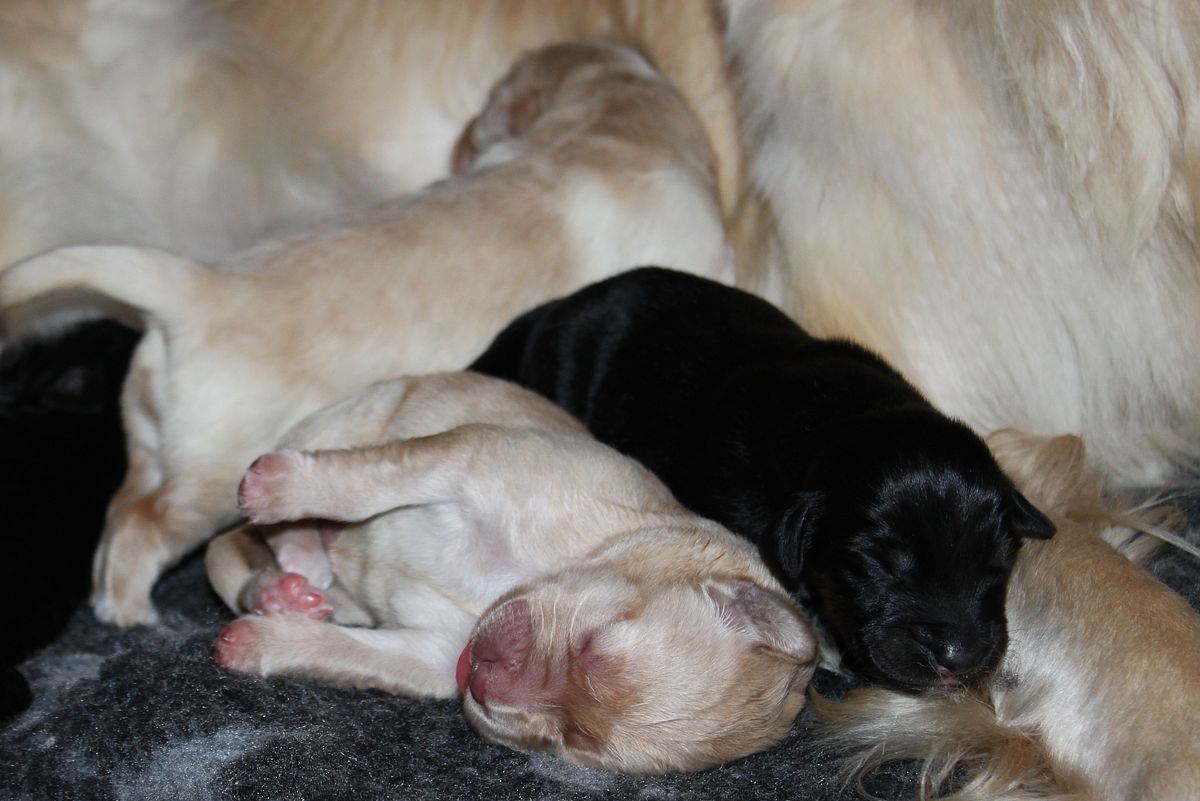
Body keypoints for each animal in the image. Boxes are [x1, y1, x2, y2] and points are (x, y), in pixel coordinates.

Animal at [0, 41, 731, 627]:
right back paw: (130, 614)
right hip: (206, 481)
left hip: (154, 447)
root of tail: (197, 283)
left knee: (120, 511)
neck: (607, 124)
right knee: (143, 530)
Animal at [205, 371, 817, 774]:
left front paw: (260, 643)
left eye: (571, 741)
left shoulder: (430, 653)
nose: (480, 679)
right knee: (245, 533)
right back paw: (292, 538)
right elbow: (367, 483)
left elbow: (346, 652)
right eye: (593, 643)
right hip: (351, 417)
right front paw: (281, 489)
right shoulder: (469, 457)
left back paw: (286, 589)